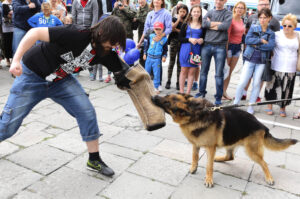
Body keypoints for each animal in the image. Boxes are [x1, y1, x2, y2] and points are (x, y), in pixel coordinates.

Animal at [152, 94, 298, 187]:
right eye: (165, 96)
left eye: (167, 102)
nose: (153, 97)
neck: (194, 114)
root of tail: (262, 126)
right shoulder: (196, 144)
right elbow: (194, 157)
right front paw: (193, 168)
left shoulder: (210, 147)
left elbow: (209, 166)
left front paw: (209, 179)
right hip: (231, 141)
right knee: (230, 156)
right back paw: (218, 158)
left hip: (251, 151)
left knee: (264, 163)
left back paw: (269, 178)